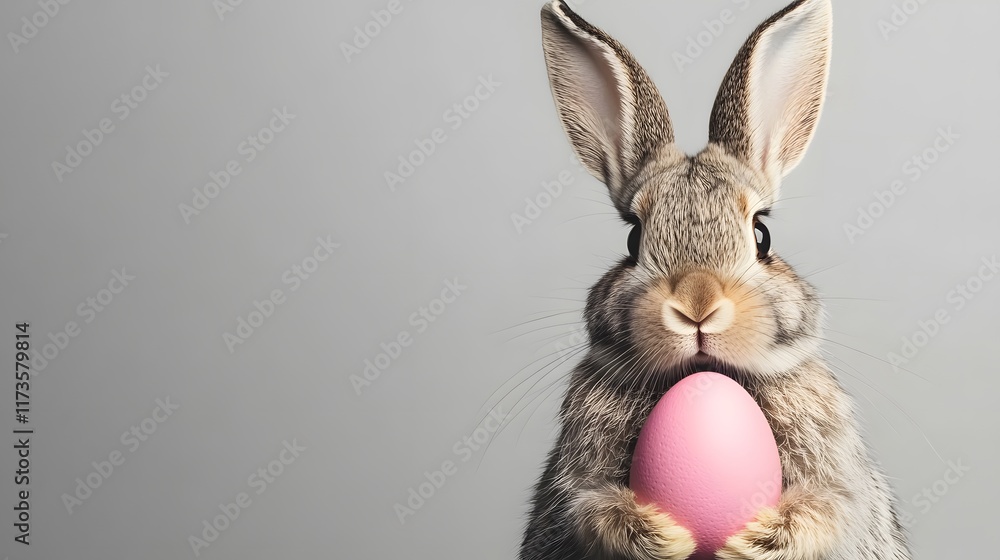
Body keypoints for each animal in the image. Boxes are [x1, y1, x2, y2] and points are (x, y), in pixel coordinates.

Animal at [519, 0, 912, 559]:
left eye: (762, 234)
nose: (697, 304)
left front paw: (752, 539)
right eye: (633, 239)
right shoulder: (576, 485)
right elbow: (592, 509)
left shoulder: (839, 484)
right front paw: (665, 535)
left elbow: (828, 508)